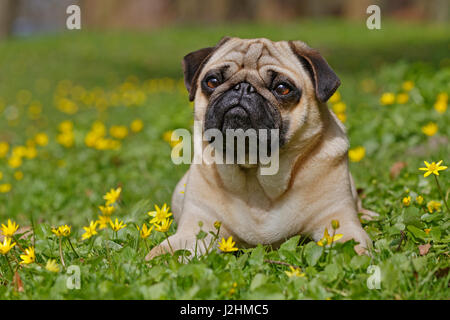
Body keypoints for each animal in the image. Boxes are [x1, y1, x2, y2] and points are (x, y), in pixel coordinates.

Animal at [145, 37, 376, 260]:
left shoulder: (337, 219)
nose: (243, 88)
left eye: (282, 88)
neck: (256, 178)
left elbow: (353, 248)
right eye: (212, 81)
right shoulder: (196, 229)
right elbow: (162, 253)